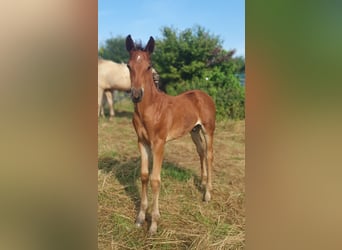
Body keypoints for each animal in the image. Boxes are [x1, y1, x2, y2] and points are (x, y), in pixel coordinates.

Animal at [125, 35, 216, 234]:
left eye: (149, 66)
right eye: (128, 65)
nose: (136, 95)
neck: (151, 108)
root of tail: (203, 94)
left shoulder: (159, 144)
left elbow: (155, 180)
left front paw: (153, 223)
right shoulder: (142, 142)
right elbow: (144, 175)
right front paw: (140, 218)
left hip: (208, 129)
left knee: (209, 155)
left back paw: (207, 194)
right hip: (194, 131)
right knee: (201, 152)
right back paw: (203, 183)